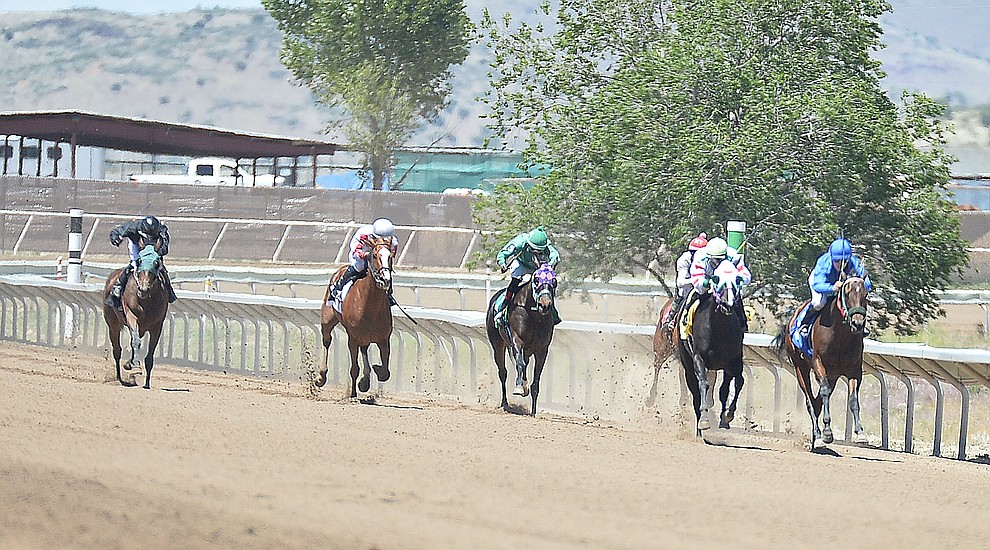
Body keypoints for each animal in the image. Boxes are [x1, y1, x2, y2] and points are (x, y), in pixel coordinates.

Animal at [101, 244, 170, 390]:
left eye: (156, 263)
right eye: (139, 261)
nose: (143, 289)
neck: (146, 301)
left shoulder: (157, 326)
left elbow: (150, 354)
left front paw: (147, 383)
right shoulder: (131, 316)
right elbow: (136, 342)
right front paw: (133, 365)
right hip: (113, 323)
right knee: (117, 350)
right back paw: (120, 378)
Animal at [318, 237, 396, 396]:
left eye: (390, 256)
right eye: (374, 256)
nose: (385, 280)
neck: (370, 306)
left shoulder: (384, 339)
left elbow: (385, 372)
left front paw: (369, 377)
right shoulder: (352, 337)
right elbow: (354, 368)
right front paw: (353, 393)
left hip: (365, 336)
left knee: (364, 349)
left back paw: (365, 379)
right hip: (327, 320)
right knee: (327, 341)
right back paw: (321, 377)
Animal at [486, 266, 560, 416]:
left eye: (554, 281)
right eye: (536, 280)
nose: (545, 305)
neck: (534, 315)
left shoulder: (542, 349)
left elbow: (536, 380)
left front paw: (533, 412)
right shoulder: (517, 341)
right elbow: (520, 363)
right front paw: (520, 387)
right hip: (497, 344)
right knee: (503, 372)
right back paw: (505, 403)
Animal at [680, 260, 748, 438]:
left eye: (737, 279)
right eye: (717, 279)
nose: (727, 304)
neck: (719, 328)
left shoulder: (734, 360)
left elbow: (738, 383)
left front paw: (728, 415)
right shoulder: (698, 358)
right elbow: (704, 385)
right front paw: (704, 421)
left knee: (724, 389)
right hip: (688, 365)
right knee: (696, 393)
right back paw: (699, 429)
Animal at [776, 278, 868, 450]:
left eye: (865, 295)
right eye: (847, 293)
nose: (858, 323)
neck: (840, 335)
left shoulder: (854, 371)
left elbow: (853, 399)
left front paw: (860, 433)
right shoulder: (818, 363)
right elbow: (824, 392)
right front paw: (826, 433)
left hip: (833, 376)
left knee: (817, 402)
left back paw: (814, 437)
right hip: (801, 368)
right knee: (810, 402)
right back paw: (818, 436)